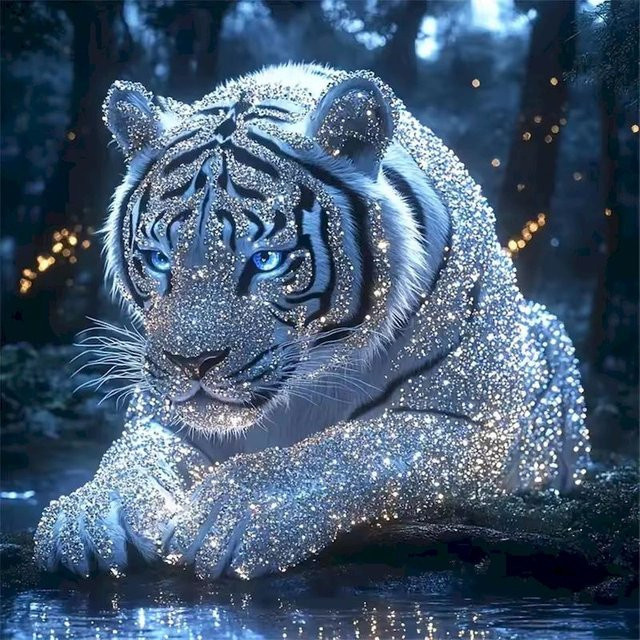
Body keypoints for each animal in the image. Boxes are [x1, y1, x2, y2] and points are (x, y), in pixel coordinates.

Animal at [34, 63, 590, 580]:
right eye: (158, 259)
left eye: (265, 261)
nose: (191, 363)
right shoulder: (161, 414)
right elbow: (132, 458)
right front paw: (85, 517)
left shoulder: (477, 425)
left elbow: (353, 449)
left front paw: (232, 513)